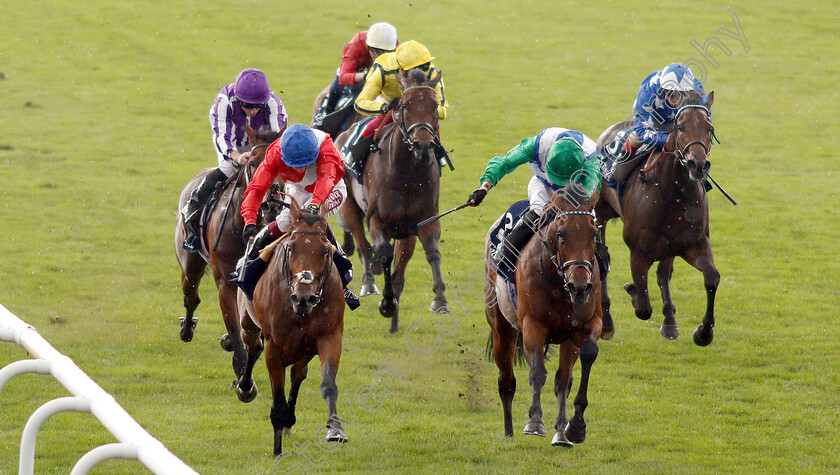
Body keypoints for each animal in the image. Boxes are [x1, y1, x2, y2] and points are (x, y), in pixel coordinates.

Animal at [174, 125, 282, 380]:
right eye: (252, 162)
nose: (271, 204)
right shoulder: (225, 281)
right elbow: (233, 326)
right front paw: (241, 368)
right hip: (190, 263)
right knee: (191, 295)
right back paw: (187, 328)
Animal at [235, 198, 346, 458]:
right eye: (291, 248)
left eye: (326, 250)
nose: (304, 297)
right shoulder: (274, 347)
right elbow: (277, 394)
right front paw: (277, 449)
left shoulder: (330, 336)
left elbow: (328, 384)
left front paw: (335, 429)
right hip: (248, 323)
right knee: (253, 347)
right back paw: (246, 388)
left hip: (303, 348)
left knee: (298, 373)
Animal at [338, 68, 450, 334]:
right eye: (406, 105)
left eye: (434, 105)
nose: (423, 145)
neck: (406, 174)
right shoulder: (377, 220)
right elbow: (384, 253)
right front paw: (386, 301)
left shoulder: (424, 221)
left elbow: (432, 253)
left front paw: (439, 299)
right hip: (350, 207)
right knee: (362, 245)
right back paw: (369, 282)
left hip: (404, 232)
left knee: (398, 269)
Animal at [486, 185, 604, 446]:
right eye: (561, 234)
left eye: (593, 234)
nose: (580, 286)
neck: (558, 282)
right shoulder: (533, 325)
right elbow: (538, 372)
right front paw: (534, 422)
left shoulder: (586, 325)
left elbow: (582, 361)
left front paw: (574, 427)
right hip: (501, 326)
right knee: (506, 380)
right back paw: (508, 432)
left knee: (562, 379)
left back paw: (561, 433)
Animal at [592, 91, 720, 346]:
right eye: (680, 127)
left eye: (709, 128)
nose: (698, 165)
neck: (673, 195)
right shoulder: (638, 252)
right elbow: (643, 307)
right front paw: (632, 291)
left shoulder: (694, 243)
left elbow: (711, 278)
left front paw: (703, 332)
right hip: (600, 213)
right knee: (602, 259)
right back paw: (607, 323)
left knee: (663, 274)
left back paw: (670, 320)